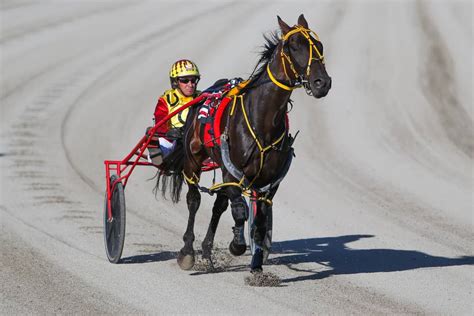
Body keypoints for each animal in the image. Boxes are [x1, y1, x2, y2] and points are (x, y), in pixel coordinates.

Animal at [156, 14, 330, 272]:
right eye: (294, 46)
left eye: (319, 46)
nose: (322, 83)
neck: (263, 120)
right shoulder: (233, 171)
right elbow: (239, 211)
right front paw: (236, 245)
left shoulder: (270, 181)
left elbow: (259, 221)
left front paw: (257, 263)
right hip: (193, 160)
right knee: (195, 200)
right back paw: (188, 251)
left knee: (219, 204)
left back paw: (206, 249)